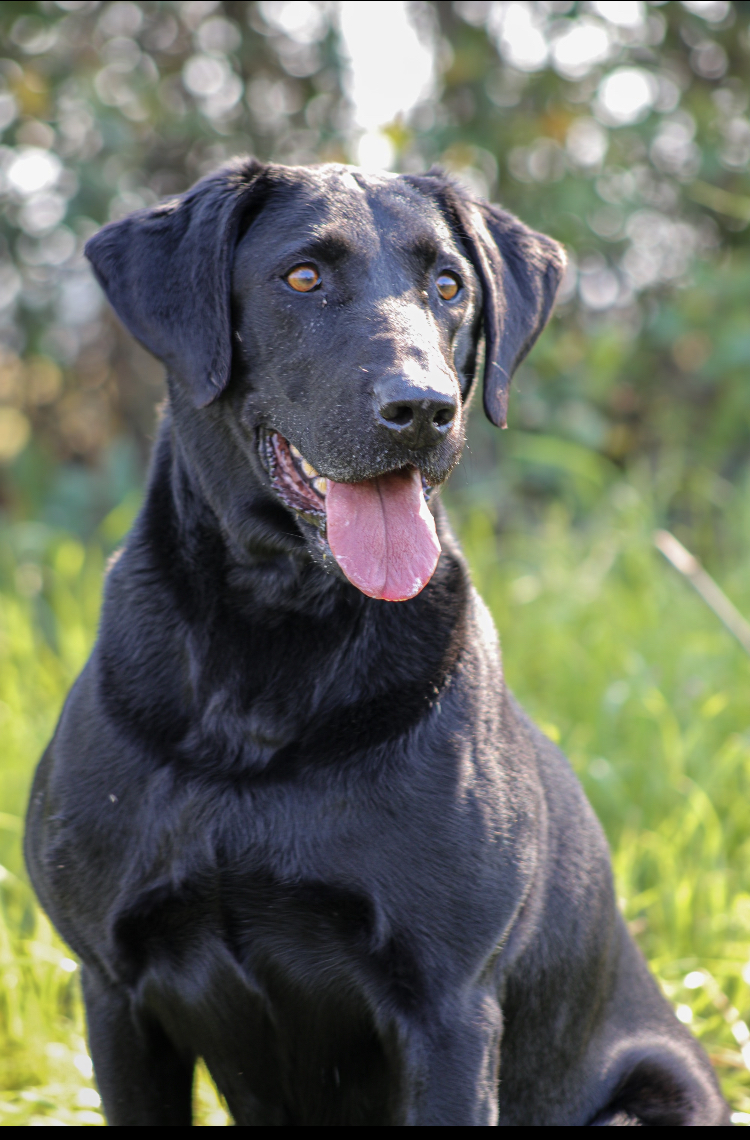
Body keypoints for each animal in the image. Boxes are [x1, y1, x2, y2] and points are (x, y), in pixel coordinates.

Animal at [26, 158, 729, 1121]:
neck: (272, 645)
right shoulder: (115, 993)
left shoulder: (448, 1007)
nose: (425, 408)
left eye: (450, 286)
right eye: (302, 278)